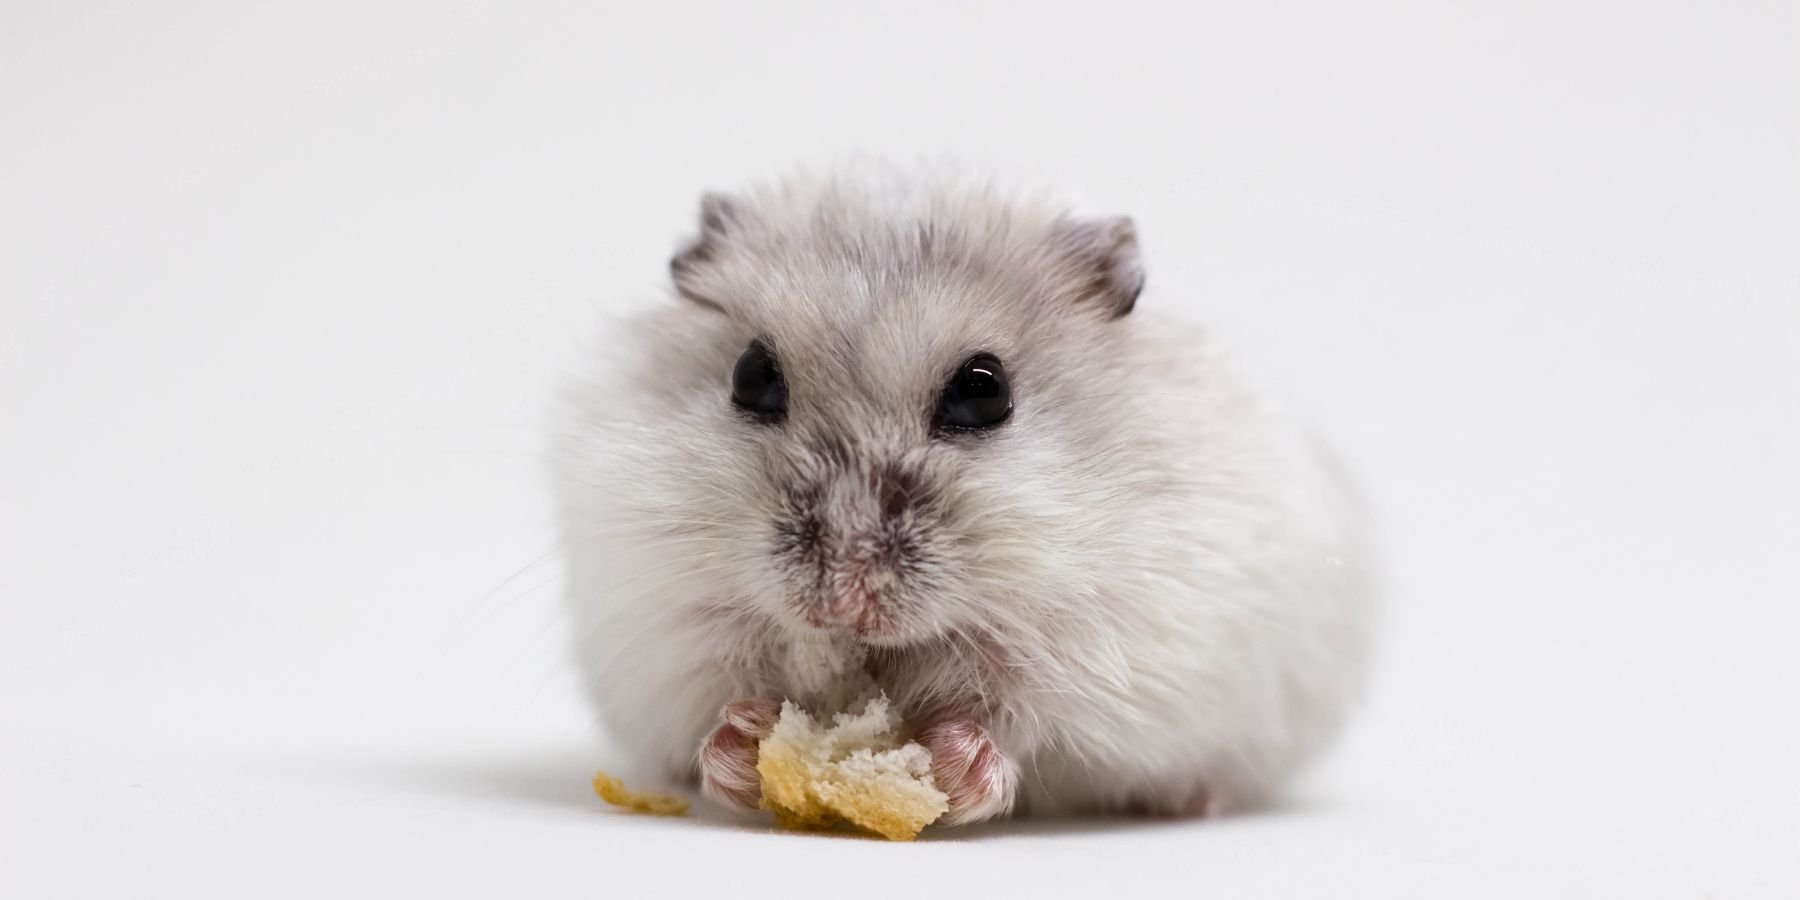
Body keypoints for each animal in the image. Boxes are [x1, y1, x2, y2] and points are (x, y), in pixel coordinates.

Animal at [551, 162, 1378, 825]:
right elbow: (710, 688)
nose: (842, 599)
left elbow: (1025, 717)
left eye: (984, 392)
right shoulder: (665, 623)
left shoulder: (1108, 653)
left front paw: (957, 764)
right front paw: (742, 743)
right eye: (750, 375)